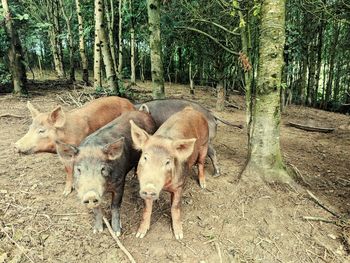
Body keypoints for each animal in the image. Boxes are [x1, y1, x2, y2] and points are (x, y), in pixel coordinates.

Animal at [130, 106, 209, 240]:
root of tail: (191, 109)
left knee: (201, 163)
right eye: (145, 157)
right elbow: (147, 209)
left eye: (167, 162)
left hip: (205, 144)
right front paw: (139, 234)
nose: (150, 188)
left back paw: (203, 185)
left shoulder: (179, 185)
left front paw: (179, 235)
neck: (165, 187)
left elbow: (175, 207)